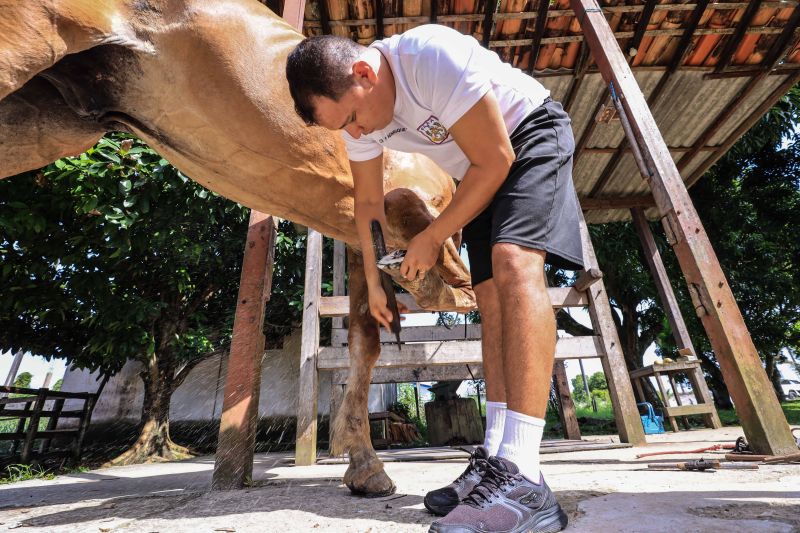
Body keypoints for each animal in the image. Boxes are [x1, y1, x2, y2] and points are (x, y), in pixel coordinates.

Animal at [0, 0, 472, 494]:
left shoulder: (362, 241)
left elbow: (365, 344)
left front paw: (365, 468)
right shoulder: (405, 210)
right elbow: (446, 278)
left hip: (45, 120)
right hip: (27, 47)